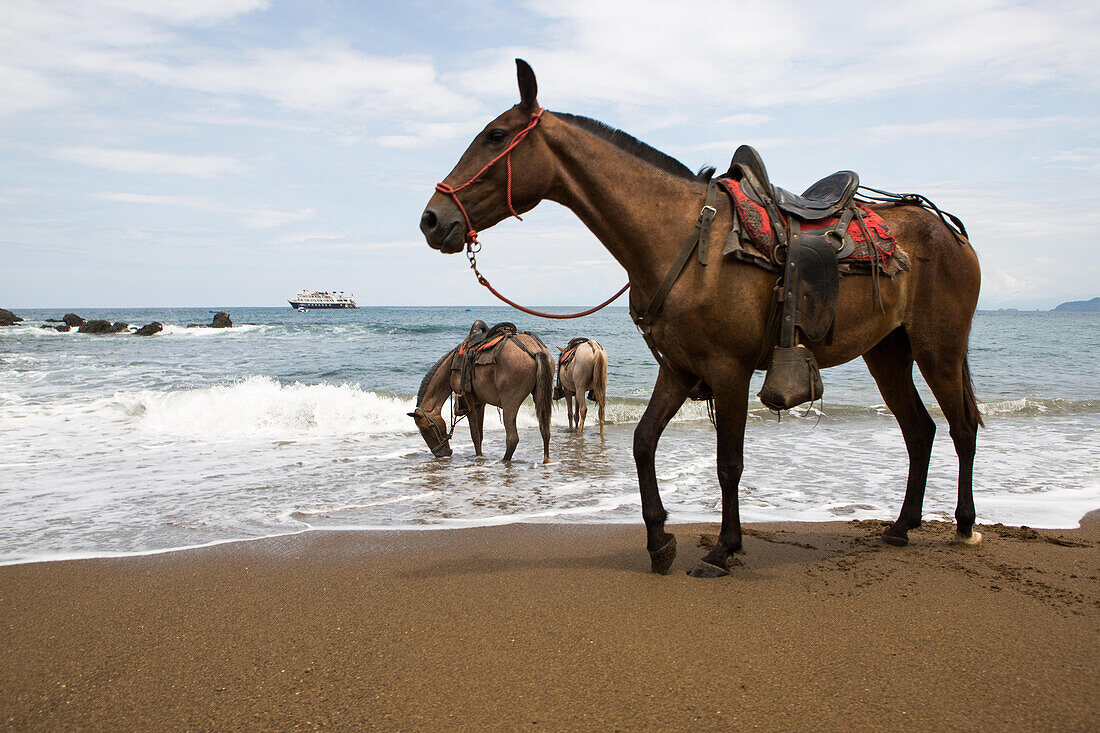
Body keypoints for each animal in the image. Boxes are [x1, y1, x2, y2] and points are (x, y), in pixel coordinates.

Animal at [422, 61, 990, 576]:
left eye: (496, 135)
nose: (431, 219)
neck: (681, 238)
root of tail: (950, 230)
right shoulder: (678, 369)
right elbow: (643, 442)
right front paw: (659, 542)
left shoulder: (729, 370)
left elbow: (729, 463)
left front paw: (723, 549)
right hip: (887, 352)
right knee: (919, 431)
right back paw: (901, 527)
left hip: (939, 349)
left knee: (960, 427)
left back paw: (964, 525)